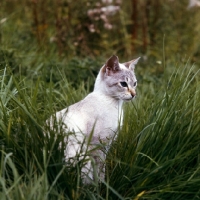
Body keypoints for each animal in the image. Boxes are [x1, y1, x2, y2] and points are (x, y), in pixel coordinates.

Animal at [48, 54, 139, 183]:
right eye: (123, 84)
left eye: (134, 83)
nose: (133, 94)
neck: (115, 104)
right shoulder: (98, 144)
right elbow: (100, 168)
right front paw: (102, 184)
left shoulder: (107, 144)